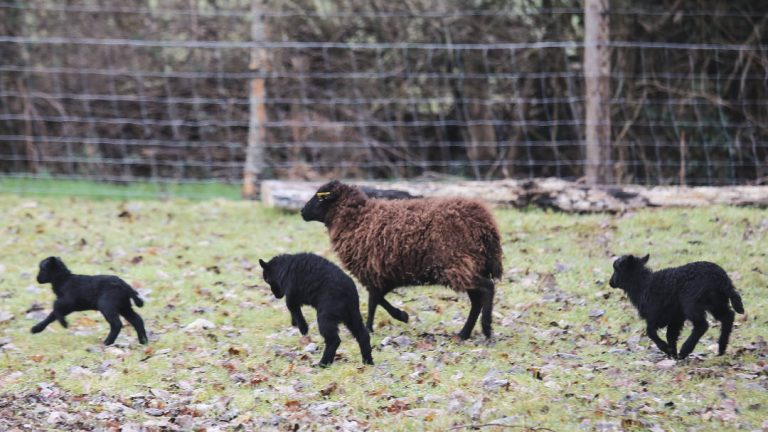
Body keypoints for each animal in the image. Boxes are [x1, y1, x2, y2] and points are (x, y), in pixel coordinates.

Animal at [300, 180, 503, 340]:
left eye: (320, 197)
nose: (301, 212)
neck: (356, 220)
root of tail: (485, 223)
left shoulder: (373, 272)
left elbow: (374, 301)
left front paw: (375, 325)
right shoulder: (383, 275)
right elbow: (377, 299)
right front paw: (397, 317)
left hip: (458, 264)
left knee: (487, 288)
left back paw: (486, 327)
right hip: (470, 265)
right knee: (477, 300)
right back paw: (464, 333)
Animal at [609, 254, 745, 359]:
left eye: (616, 269)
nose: (610, 283)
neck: (643, 284)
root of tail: (722, 278)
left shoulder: (654, 315)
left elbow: (651, 332)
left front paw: (666, 349)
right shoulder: (675, 318)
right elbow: (671, 335)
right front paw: (672, 353)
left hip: (692, 303)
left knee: (702, 325)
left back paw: (685, 350)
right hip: (716, 303)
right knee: (728, 316)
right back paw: (721, 348)